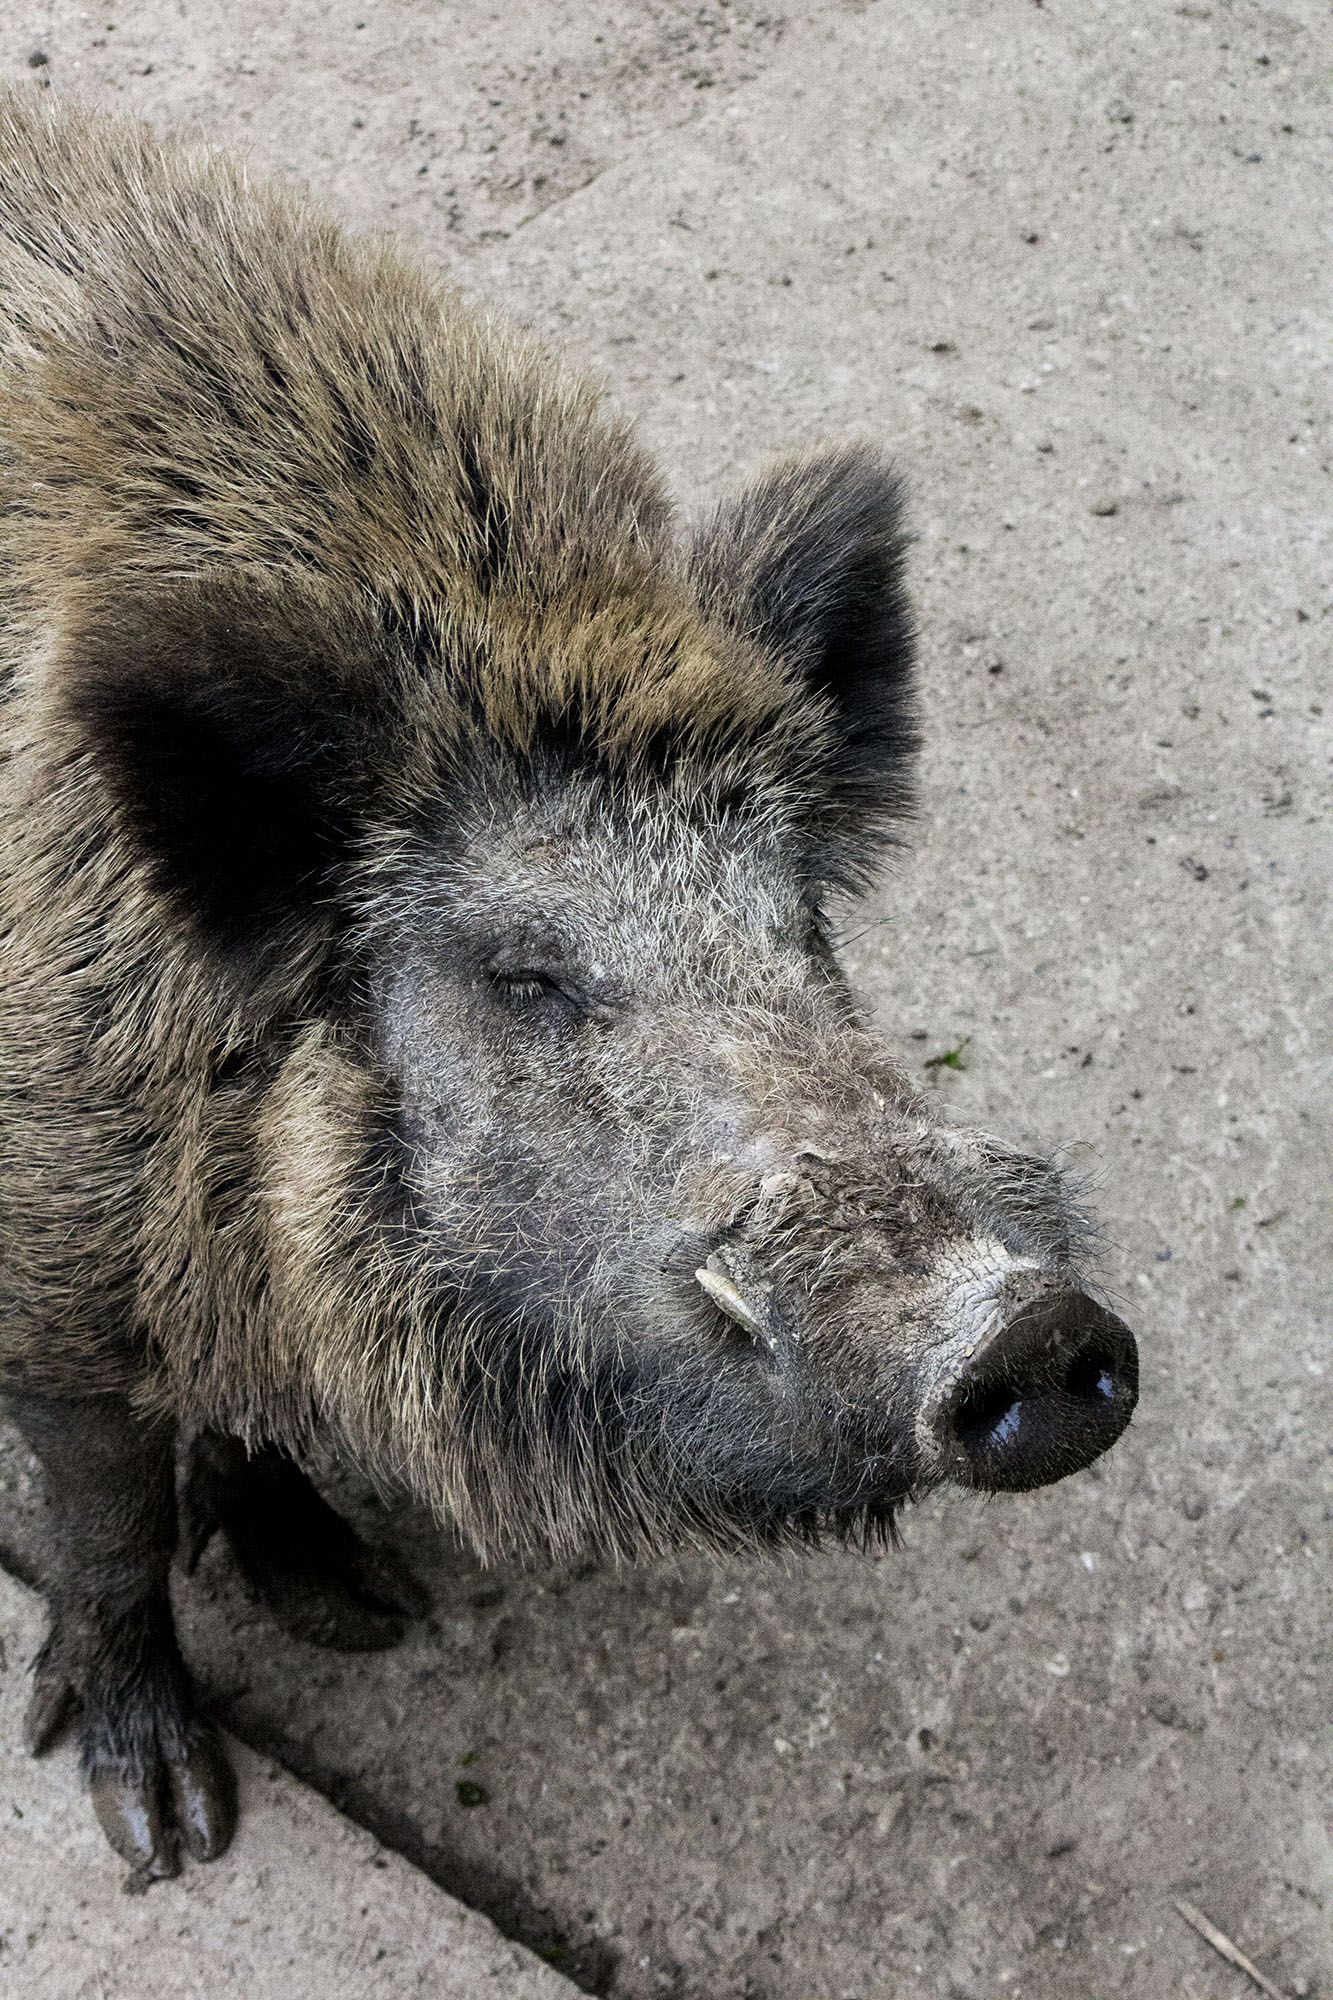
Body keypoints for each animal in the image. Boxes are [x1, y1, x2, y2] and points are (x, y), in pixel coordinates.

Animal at [0, 90, 1138, 1886]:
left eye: (798, 921)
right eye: (525, 971)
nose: (1030, 1325)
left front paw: (358, 1610)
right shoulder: (52, 1266)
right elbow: (103, 1522)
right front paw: (165, 1836)